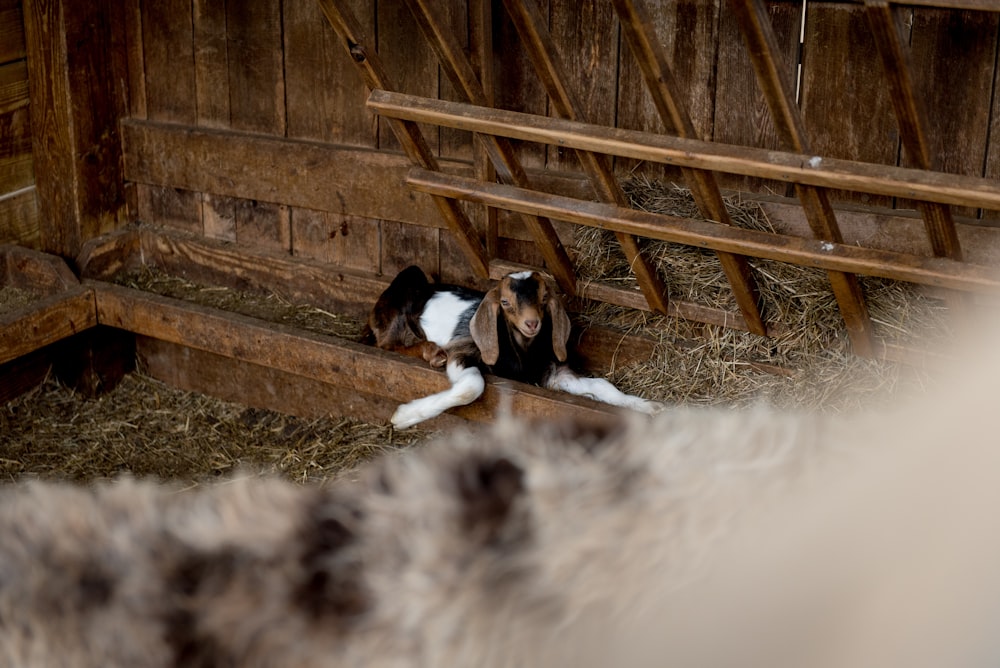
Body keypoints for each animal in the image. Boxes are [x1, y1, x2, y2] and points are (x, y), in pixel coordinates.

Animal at [364, 264, 660, 428]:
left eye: (543, 298)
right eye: (505, 302)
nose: (531, 323)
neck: (522, 355)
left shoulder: (551, 371)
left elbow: (601, 385)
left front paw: (649, 407)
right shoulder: (463, 349)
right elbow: (472, 387)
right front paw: (404, 416)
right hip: (402, 295)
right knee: (388, 342)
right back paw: (432, 353)